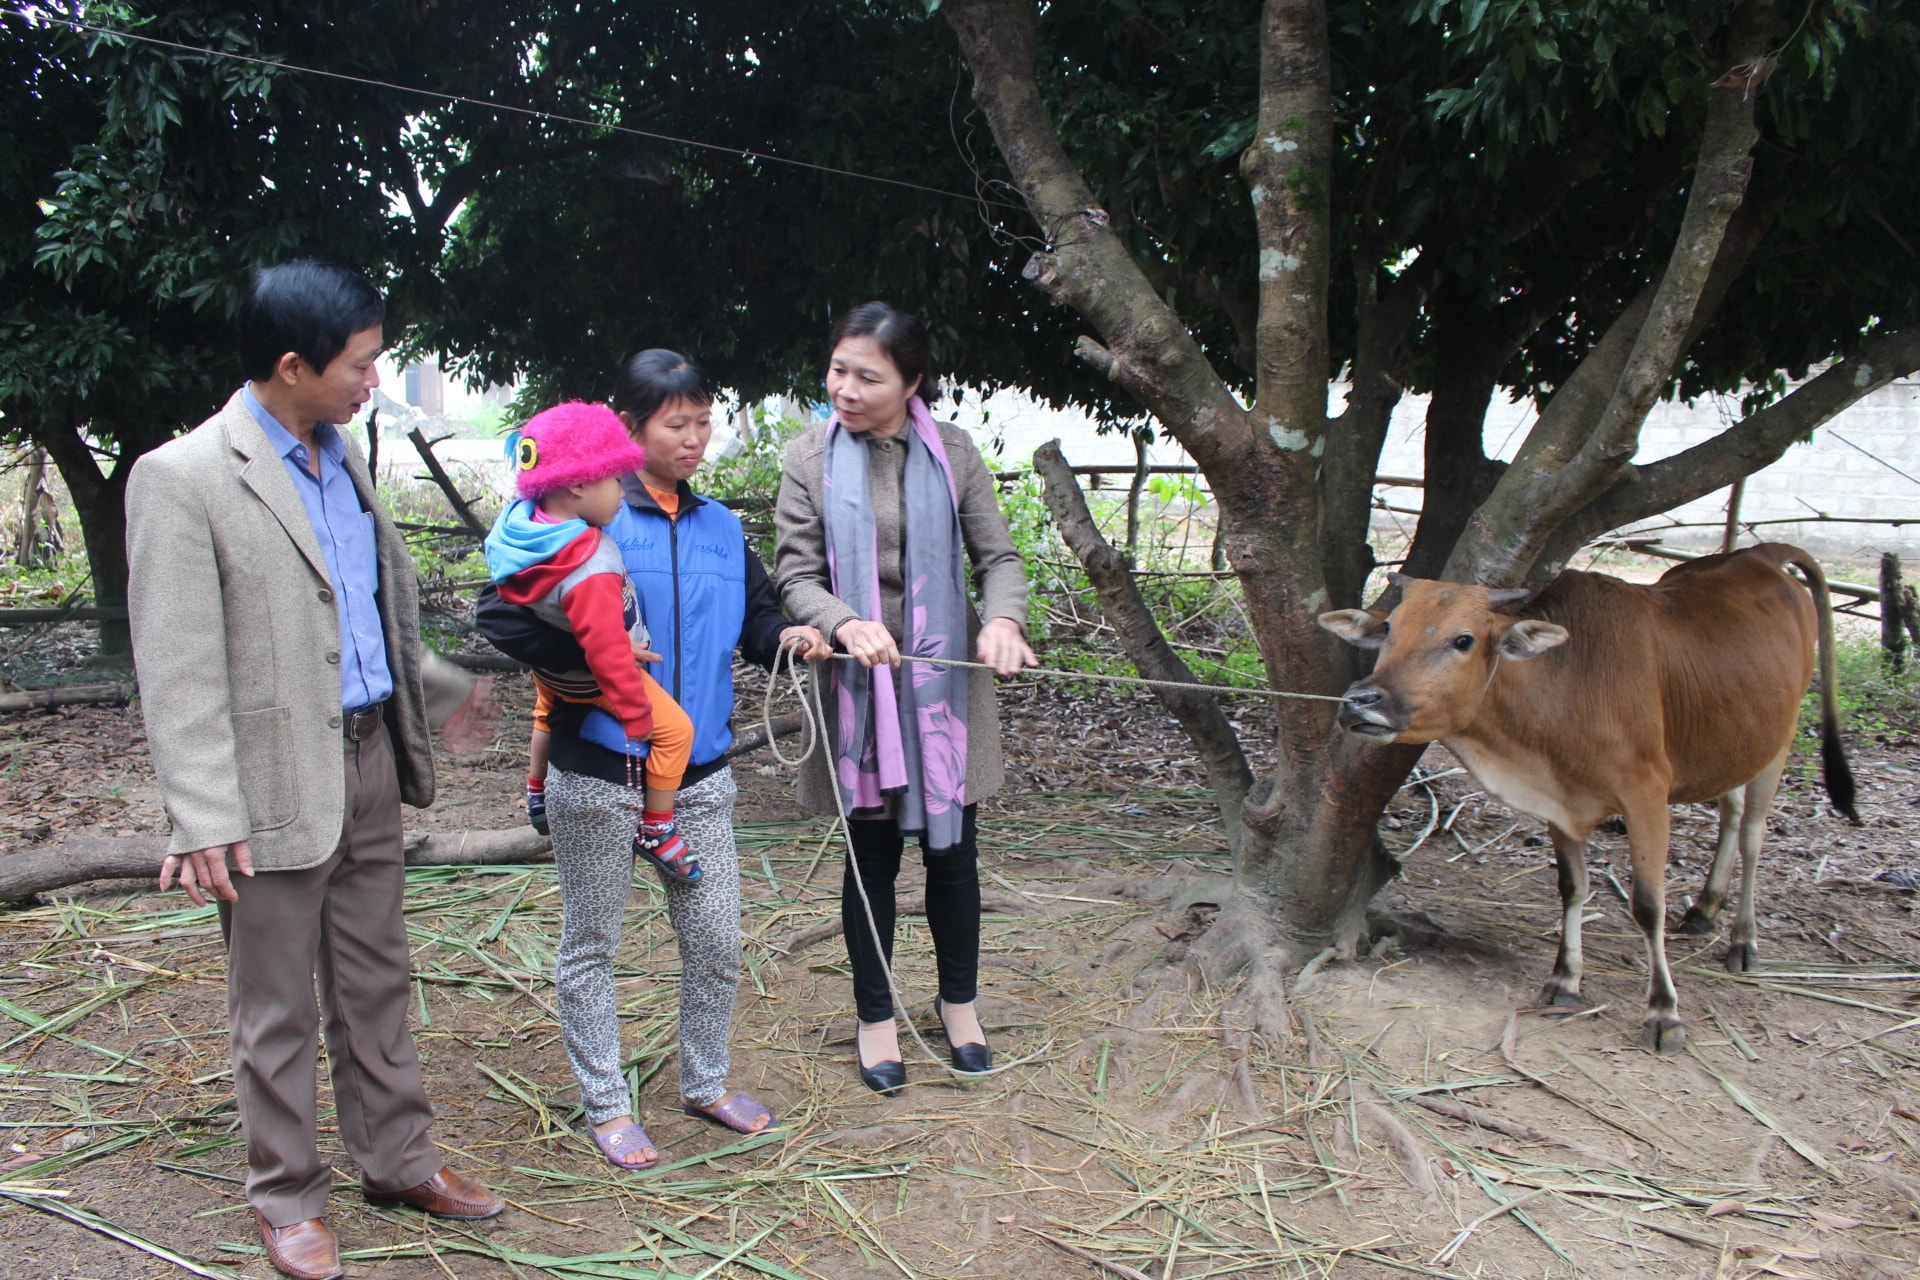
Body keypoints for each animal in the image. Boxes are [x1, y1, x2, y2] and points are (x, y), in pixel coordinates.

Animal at [1313, 545, 1850, 1059]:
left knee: (1754, 839)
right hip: (1736, 746)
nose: (1362, 701)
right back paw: (1704, 909)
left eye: (1463, 640)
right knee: (1732, 813)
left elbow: (1648, 905)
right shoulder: (1560, 803)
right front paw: (1565, 978)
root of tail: (1765, 554)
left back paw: (1743, 939)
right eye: (1388, 629)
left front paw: (1664, 1012)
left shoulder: (1647, 794)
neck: (1568, 681)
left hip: (1778, 745)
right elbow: (1572, 888)